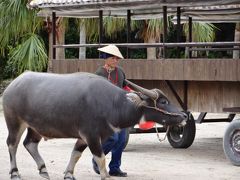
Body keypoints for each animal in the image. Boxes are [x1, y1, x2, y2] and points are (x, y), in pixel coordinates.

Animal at [2, 71, 188, 179]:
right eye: (163, 101)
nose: (185, 115)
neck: (112, 104)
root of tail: (12, 86)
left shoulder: (84, 137)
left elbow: (76, 154)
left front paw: (69, 174)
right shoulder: (91, 135)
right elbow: (101, 159)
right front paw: (105, 176)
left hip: (35, 127)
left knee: (29, 144)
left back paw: (43, 169)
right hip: (15, 122)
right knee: (12, 144)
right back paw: (15, 172)